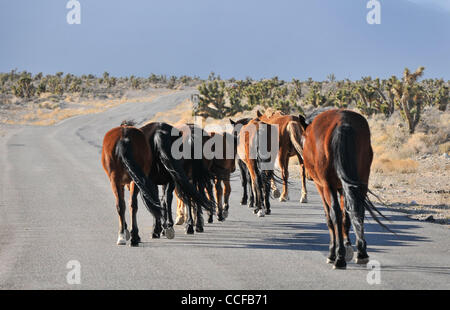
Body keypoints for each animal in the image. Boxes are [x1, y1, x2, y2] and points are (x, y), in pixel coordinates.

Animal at [302, 109, 390, 268]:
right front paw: (348, 246)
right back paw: (361, 253)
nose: (308, 175)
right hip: (361, 180)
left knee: (335, 213)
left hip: (328, 186)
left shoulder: (322, 186)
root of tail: (342, 124)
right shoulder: (343, 188)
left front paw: (333, 252)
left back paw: (339, 257)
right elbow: (346, 217)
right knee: (358, 210)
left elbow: (331, 218)